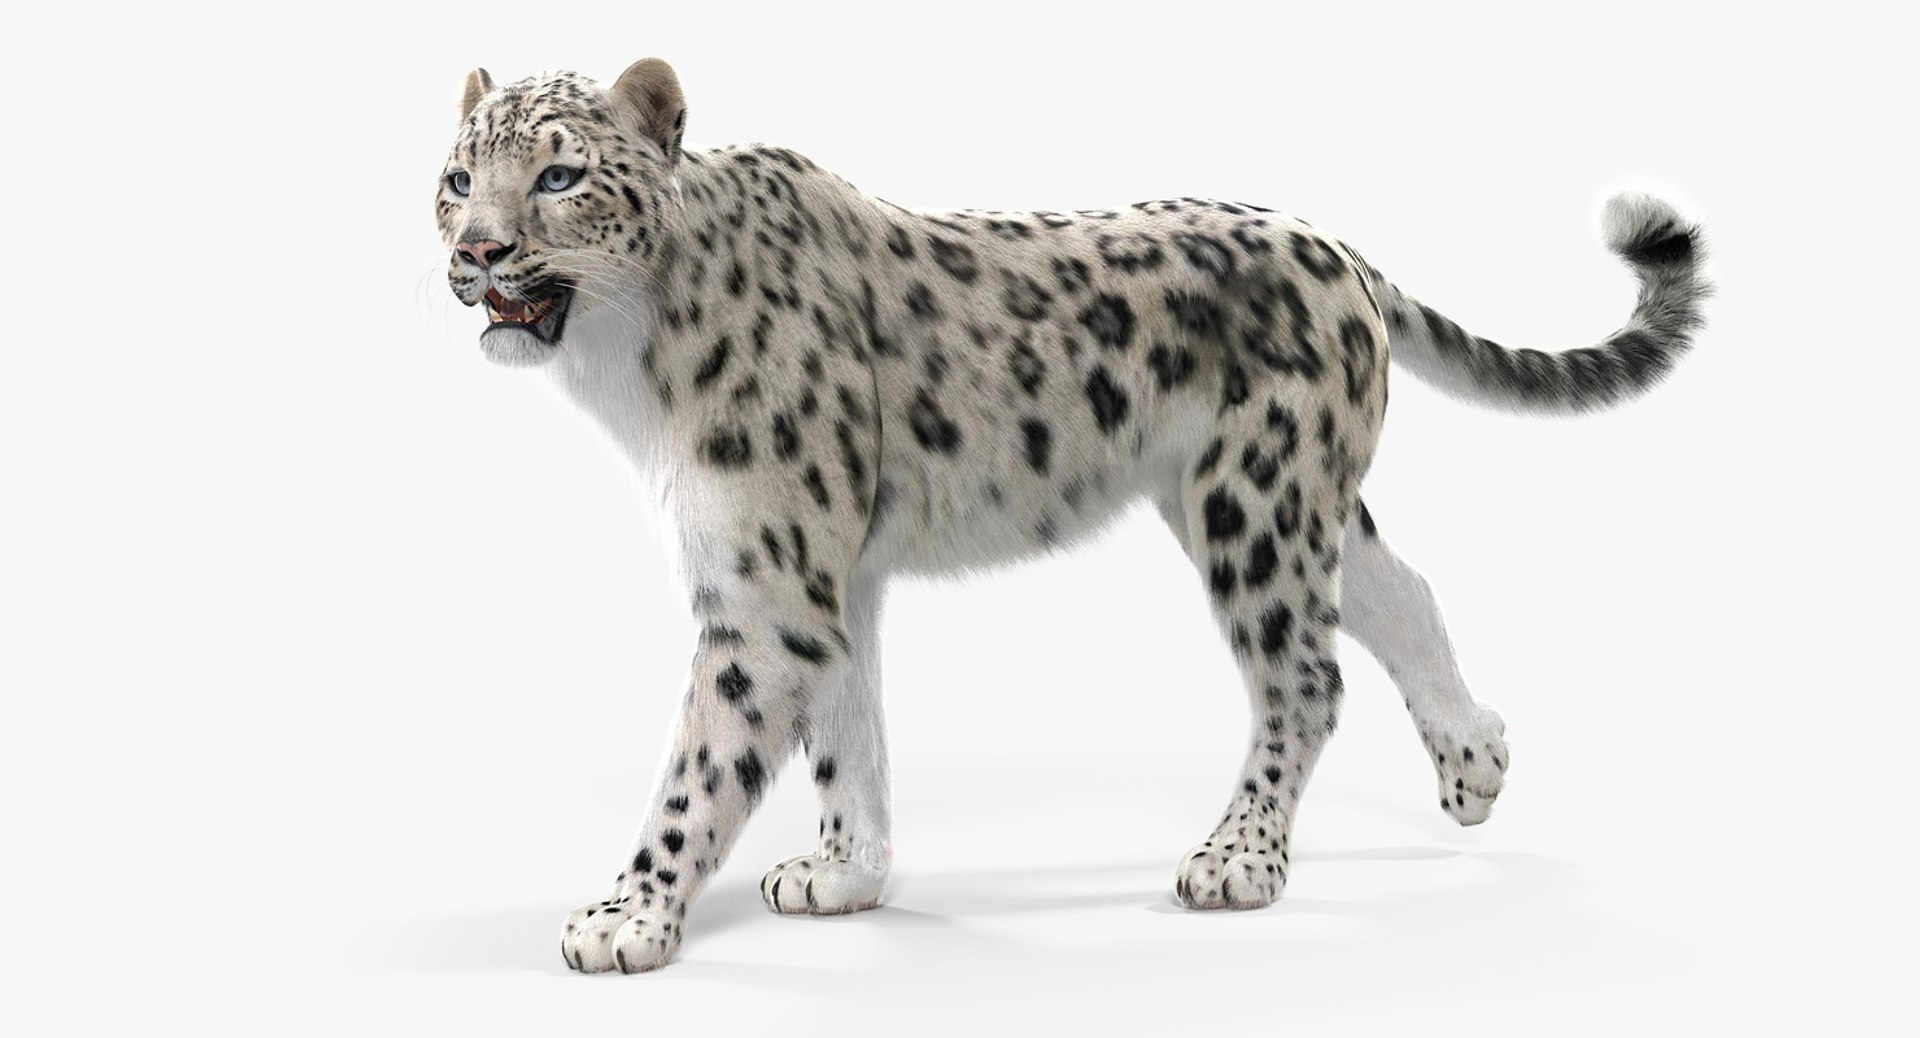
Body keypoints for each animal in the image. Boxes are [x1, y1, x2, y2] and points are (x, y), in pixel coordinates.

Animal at [433, 59, 1710, 974]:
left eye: (558, 177)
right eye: (455, 179)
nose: (477, 250)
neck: (628, 365)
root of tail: (1336, 249)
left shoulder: (767, 580)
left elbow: (706, 757)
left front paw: (625, 918)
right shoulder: (828, 575)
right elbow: (850, 732)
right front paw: (847, 876)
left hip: (1254, 499)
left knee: (1306, 674)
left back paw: (1238, 858)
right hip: (1287, 494)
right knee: (1401, 589)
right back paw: (1475, 762)